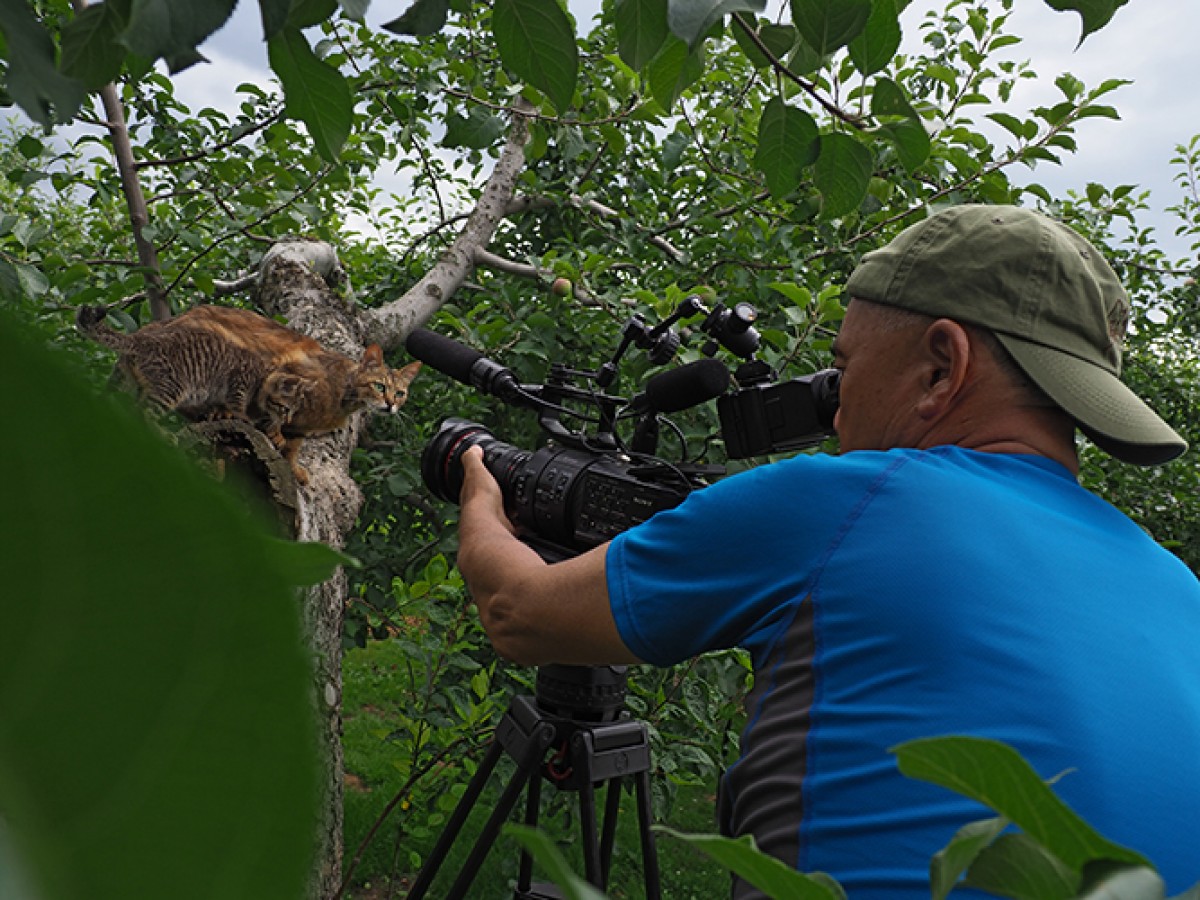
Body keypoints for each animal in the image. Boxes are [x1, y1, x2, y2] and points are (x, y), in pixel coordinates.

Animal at [76, 304, 422, 487]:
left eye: (400, 393)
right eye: (379, 386)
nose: (390, 404)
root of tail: (141, 335)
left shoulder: (302, 426)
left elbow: (293, 446)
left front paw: (293, 467)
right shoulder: (277, 371)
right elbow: (271, 418)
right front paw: (273, 434)